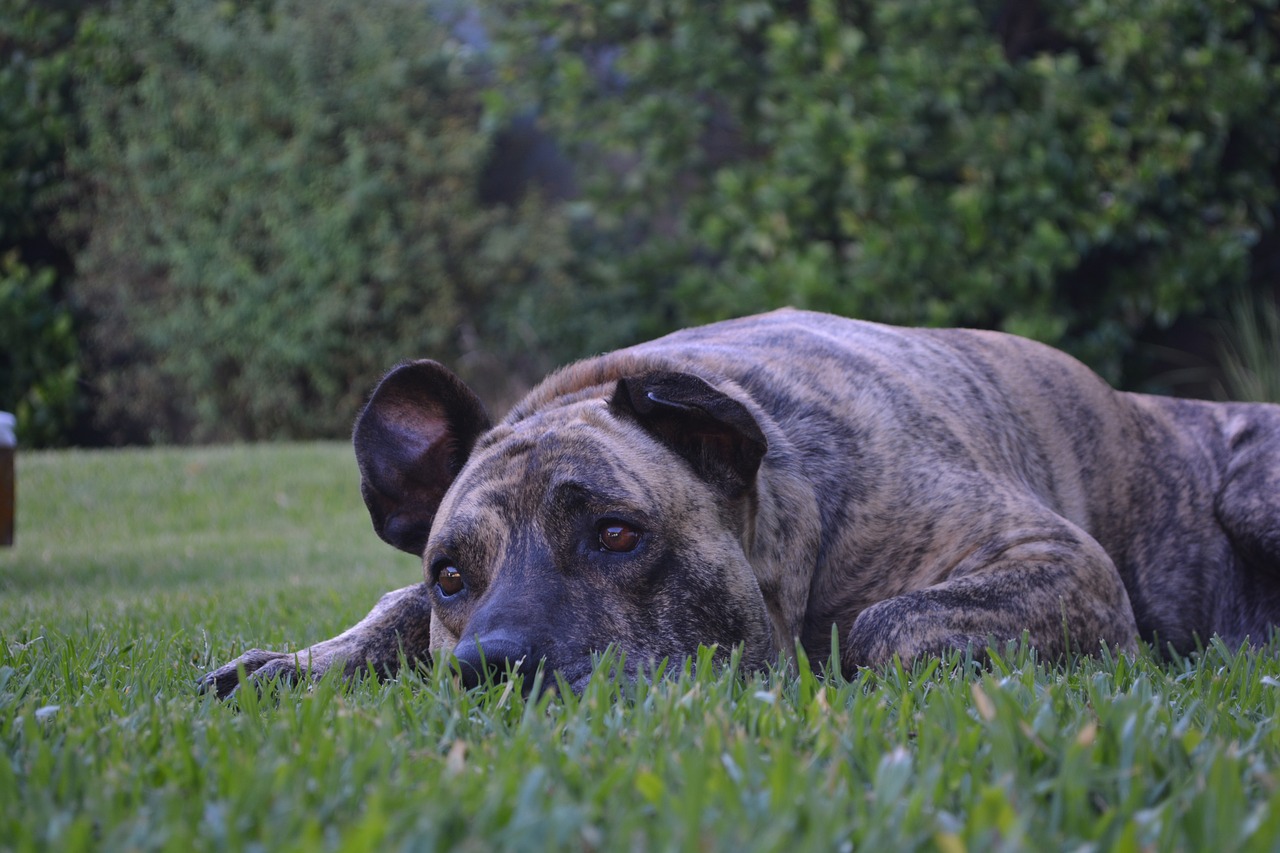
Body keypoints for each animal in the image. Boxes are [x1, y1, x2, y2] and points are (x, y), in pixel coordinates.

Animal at [197, 308, 1280, 696]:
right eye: (450, 574)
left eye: (618, 533)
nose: (494, 664)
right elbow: (388, 612)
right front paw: (299, 661)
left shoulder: (1059, 563)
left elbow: (887, 625)